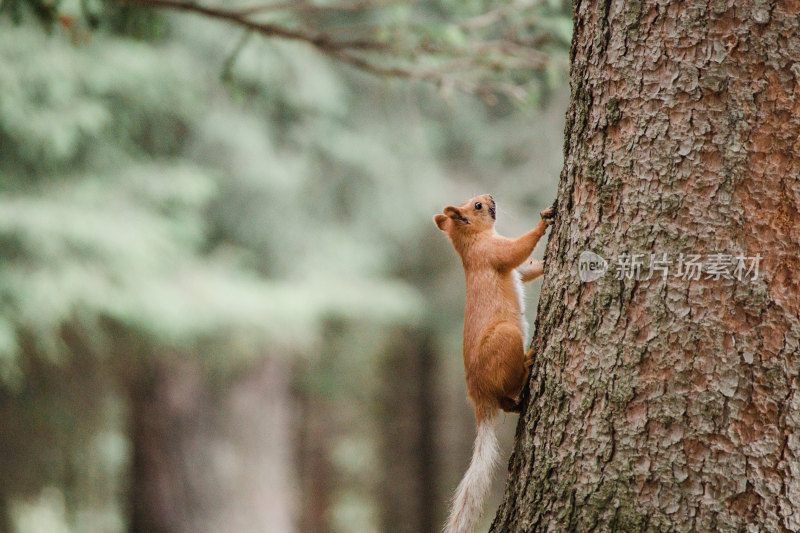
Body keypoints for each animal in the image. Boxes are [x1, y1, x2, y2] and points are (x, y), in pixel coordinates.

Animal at [432, 194, 556, 532]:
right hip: (505, 337)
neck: (471, 241)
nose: (489, 197)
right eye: (476, 206)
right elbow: (516, 251)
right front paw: (544, 219)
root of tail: (479, 397)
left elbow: (526, 269)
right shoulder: (491, 254)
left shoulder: (508, 264)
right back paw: (527, 363)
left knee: (506, 403)